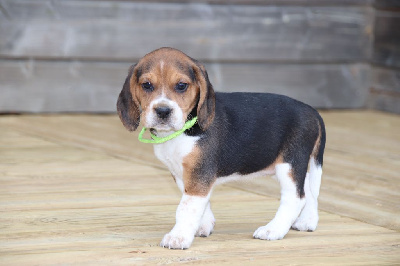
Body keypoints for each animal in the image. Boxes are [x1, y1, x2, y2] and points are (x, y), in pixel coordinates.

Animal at [115, 47, 324, 249]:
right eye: (146, 85)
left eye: (181, 85)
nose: (163, 111)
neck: (183, 130)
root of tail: (312, 111)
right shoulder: (184, 175)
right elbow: (200, 203)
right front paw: (203, 225)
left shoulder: (199, 173)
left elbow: (186, 207)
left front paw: (179, 237)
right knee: (307, 188)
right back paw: (307, 221)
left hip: (289, 163)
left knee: (295, 198)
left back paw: (273, 230)